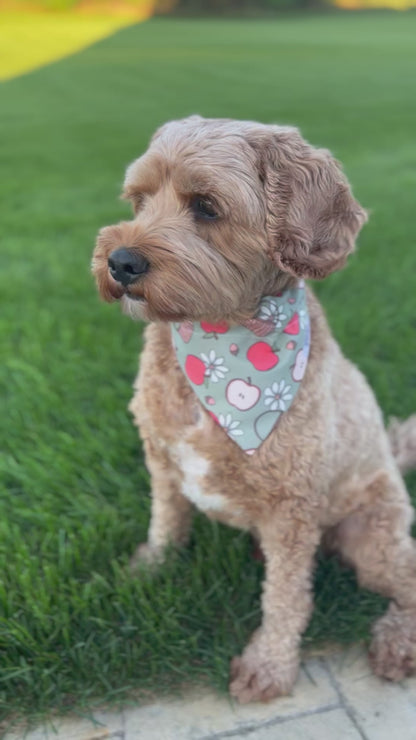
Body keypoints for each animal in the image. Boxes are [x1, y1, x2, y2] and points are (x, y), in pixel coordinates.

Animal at [92, 117, 416, 704]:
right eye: (139, 200)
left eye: (206, 207)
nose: (120, 261)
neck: (219, 342)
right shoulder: (161, 460)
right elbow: (166, 521)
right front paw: (149, 569)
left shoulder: (292, 507)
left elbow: (286, 598)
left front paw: (268, 664)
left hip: (372, 534)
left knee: (409, 578)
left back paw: (398, 641)